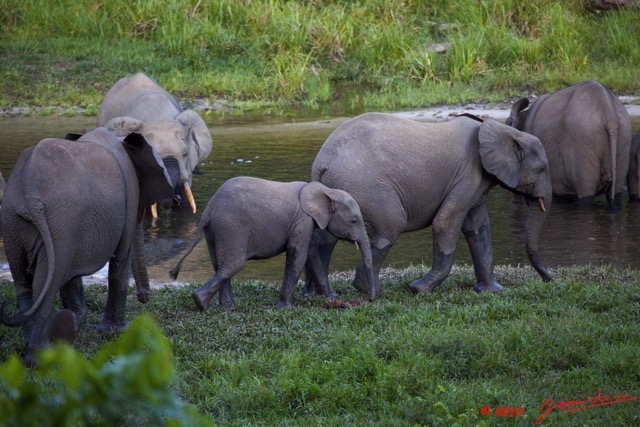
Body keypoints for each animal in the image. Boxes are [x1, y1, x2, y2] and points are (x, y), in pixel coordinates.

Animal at [0, 129, 172, 366]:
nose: (144, 296)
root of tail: (30, 196)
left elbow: (72, 276)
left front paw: (77, 320)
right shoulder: (129, 197)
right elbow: (120, 259)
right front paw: (116, 332)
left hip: (13, 222)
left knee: (24, 280)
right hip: (59, 223)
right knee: (47, 282)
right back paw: (40, 358)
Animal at [170, 177, 376, 310]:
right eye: (354, 221)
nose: (371, 300)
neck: (327, 191)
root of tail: (208, 210)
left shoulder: (304, 224)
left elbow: (311, 255)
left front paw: (332, 298)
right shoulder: (302, 220)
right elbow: (297, 255)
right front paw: (285, 308)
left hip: (216, 231)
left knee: (220, 265)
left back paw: (225, 307)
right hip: (231, 227)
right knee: (232, 265)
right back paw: (201, 303)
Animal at [304, 113, 552, 298]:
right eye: (541, 169)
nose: (548, 279)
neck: (501, 130)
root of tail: (321, 164)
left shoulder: (476, 185)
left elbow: (478, 230)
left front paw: (492, 291)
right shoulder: (467, 176)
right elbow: (445, 222)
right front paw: (418, 289)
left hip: (337, 190)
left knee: (325, 239)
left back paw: (323, 295)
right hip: (364, 186)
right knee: (391, 225)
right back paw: (367, 290)